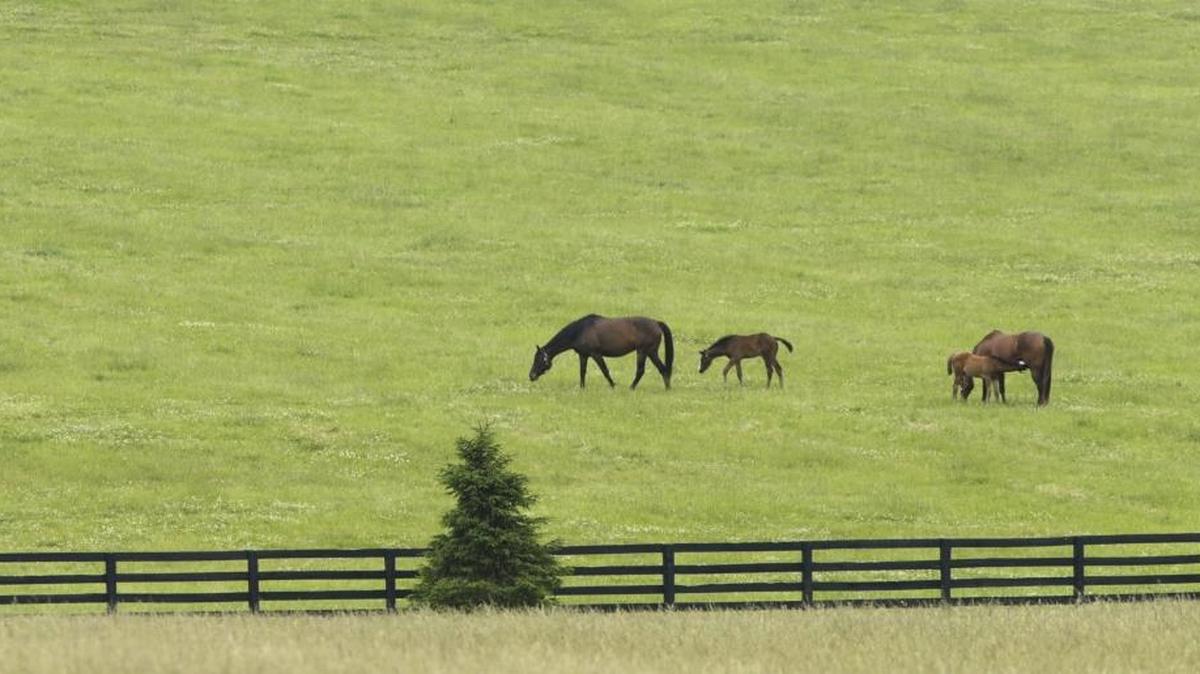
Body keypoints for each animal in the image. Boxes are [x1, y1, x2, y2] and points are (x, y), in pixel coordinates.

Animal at [529, 314, 674, 389]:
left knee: (643, 370)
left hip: (644, 351)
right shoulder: (583, 355)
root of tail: (656, 323)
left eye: (539, 359)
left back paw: (632, 388)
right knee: (662, 369)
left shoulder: (596, 354)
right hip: (649, 352)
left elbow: (605, 370)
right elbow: (582, 372)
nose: (531, 376)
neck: (580, 331)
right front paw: (582, 388)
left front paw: (613, 386)